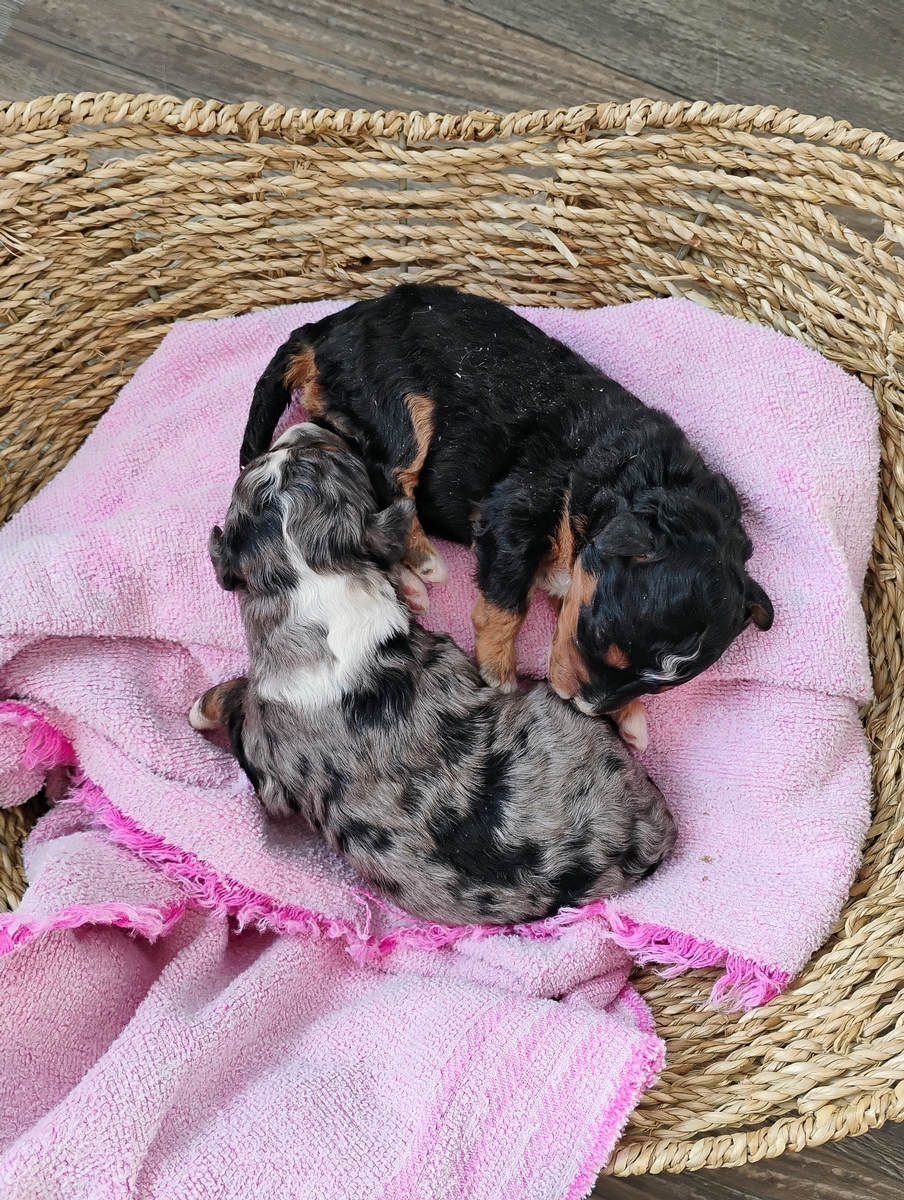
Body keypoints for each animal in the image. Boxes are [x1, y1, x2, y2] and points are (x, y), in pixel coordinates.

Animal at [190, 423, 677, 926]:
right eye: (331, 455)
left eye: (312, 451)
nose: (306, 426)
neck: (311, 581)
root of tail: (654, 841)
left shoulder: (266, 760)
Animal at [240, 285, 774, 752]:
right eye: (598, 638)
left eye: (660, 687)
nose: (582, 704)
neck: (622, 472)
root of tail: (325, 327)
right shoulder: (518, 508)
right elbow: (505, 607)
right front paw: (499, 678)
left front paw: (632, 717)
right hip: (399, 403)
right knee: (391, 476)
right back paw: (424, 562)